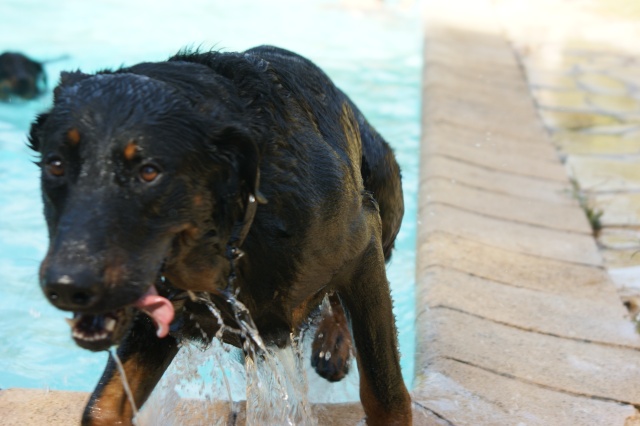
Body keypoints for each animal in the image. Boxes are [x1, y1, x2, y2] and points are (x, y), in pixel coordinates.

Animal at [30, 45, 410, 424]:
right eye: (56, 164)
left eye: (149, 172)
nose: (67, 285)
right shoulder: (165, 314)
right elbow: (103, 406)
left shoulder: (363, 240)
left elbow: (384, 391)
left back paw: (333, 340)